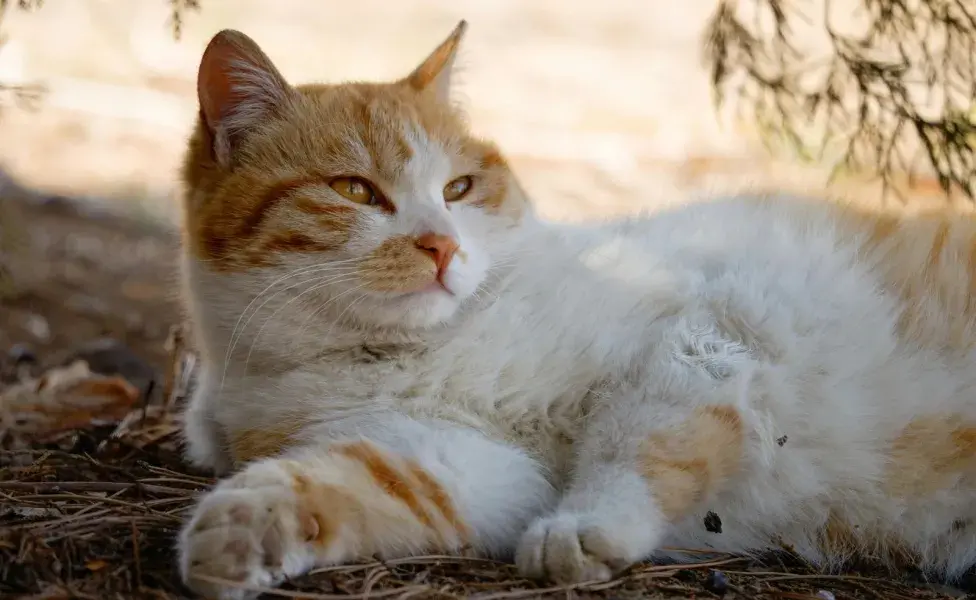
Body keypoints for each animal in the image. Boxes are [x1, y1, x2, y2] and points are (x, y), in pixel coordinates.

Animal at [175, 21, 976, 596]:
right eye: (355, 191)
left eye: (460, 189)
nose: (442, 245)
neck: (425, 352)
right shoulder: (466, 464)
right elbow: (362, 479)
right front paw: (243, 528)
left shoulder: (705, 335)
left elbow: (636, 442)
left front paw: (587, 526)